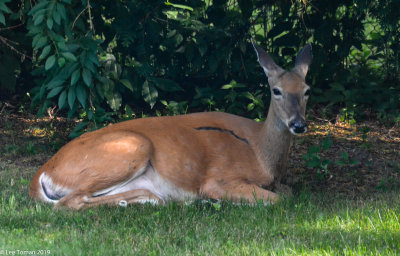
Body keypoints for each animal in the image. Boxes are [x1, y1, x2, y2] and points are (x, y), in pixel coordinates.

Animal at [29, 39, 314, 209]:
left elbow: (288, 192)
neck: (259, 151)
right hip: (130, 148)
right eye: (276, 90)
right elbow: (280, 199)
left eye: (307, 90)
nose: (298, 124)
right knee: (68, 203)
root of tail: (40, 174)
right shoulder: (218, 178)